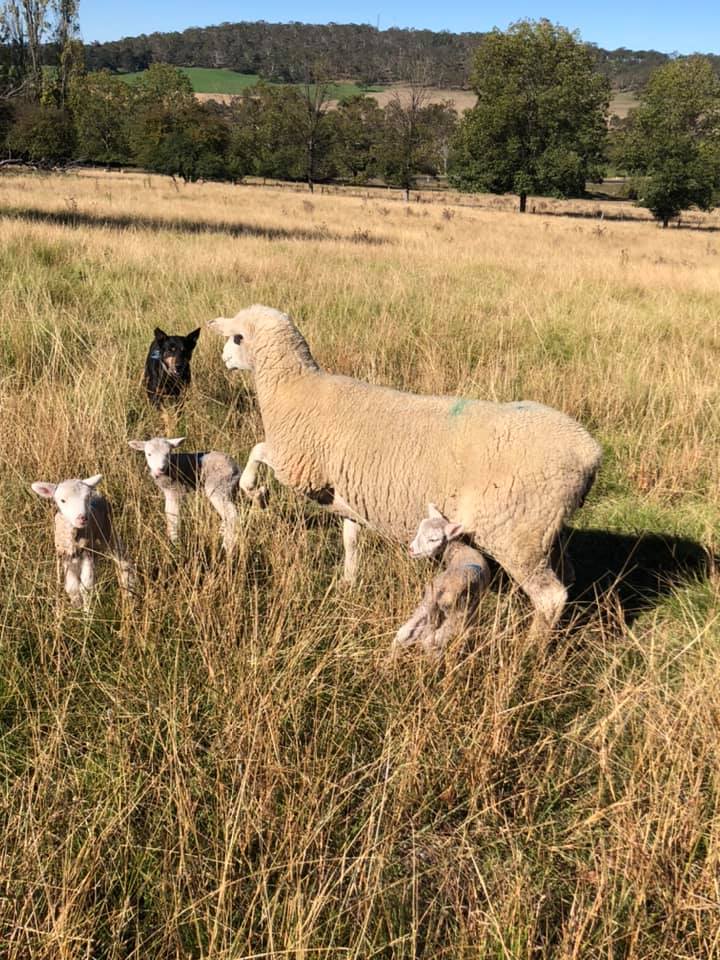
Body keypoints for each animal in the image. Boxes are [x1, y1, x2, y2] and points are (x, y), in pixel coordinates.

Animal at [31, 474, 134, 610]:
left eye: (87, 497)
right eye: (62, 500)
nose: (82, 518)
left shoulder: (87, 553)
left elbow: (86, 587)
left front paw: (87, 611)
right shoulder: (66, 557)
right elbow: (72, 588)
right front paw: (77, 608)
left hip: (107, 531)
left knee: (121, 558)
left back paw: (128, 587)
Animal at [128, 436, 266, 551]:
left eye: (168, 454)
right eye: (149, 454)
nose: (160, 469)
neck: (172, 466)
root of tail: (237, 469)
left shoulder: (175, 490)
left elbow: (172, 514)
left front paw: (174, 541)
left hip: (217, 485)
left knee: (232, 515)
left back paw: (226, 547)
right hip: (230, 488)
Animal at [207, 305, 602, 634]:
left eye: (237, 337)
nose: (224, 359)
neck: (295, 388)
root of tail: (590, 452)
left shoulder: (300, 465)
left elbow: (258, 451)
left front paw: (256, 492)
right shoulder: (346, 496)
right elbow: (350, 539)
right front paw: (348, 582)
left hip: (516, 533)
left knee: (549, 596)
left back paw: (532, 646)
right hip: (542, 529)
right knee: (567, 576)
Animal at [393, 504, 491, 657]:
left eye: (434, 539)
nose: (411, 549)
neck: (457, 548)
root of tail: (444, 589)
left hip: (428, 602)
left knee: (407, 630)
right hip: (458, 614)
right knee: (433, 640)